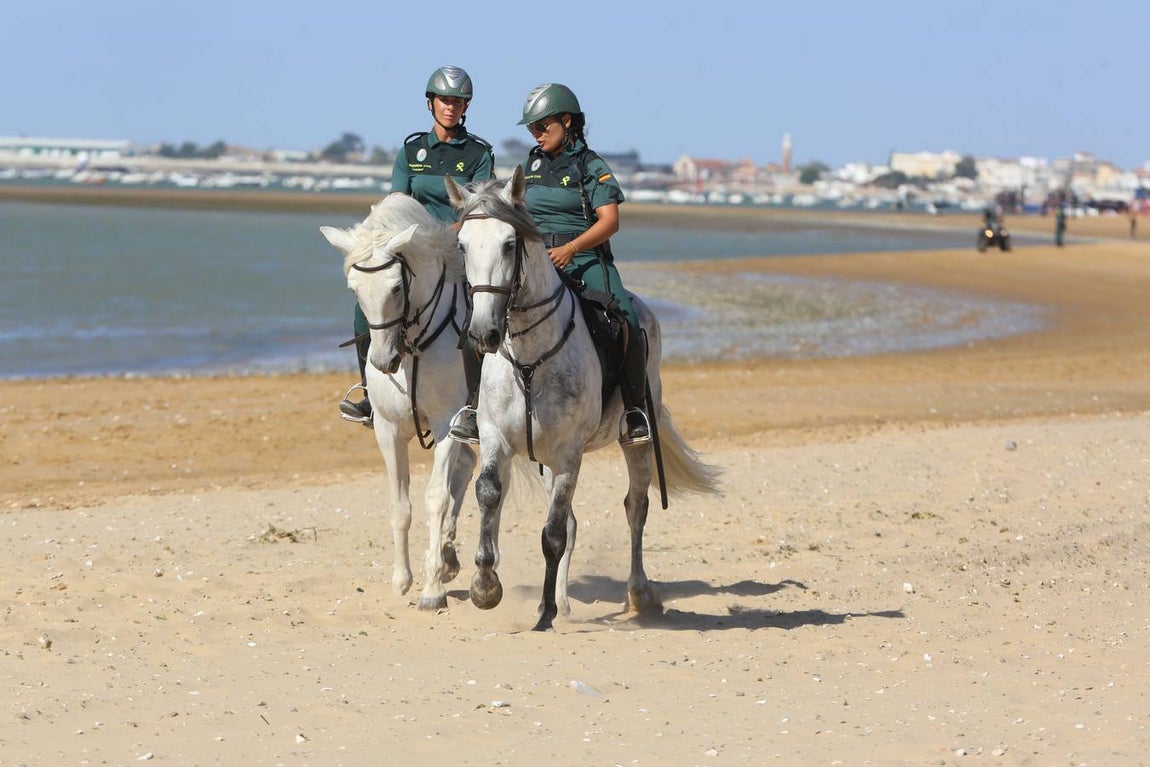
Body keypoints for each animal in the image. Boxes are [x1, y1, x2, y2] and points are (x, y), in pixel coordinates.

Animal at [319, 193, 478, 611]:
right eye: (355, 290)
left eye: (395, 288)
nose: (383, 362)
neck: (414, 346)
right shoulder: (388, 431)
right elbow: (400, 505)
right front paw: (403, 579)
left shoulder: (447, 423)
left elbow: (436, 498)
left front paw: (432, 590)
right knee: (466, 469)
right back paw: (449, 557)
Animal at [446, 168, 722, 631]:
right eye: (463, 245)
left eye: (509, 244)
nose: (483, 333)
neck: (530, 356)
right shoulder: (496, 437)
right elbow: (489, 493)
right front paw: (486, 589)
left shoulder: (568, 452)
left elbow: (553, 533)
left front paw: (544, 616)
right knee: (576, 522)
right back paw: (560, 601)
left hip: (634, 441)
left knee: (635, 507)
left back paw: (638, 594)